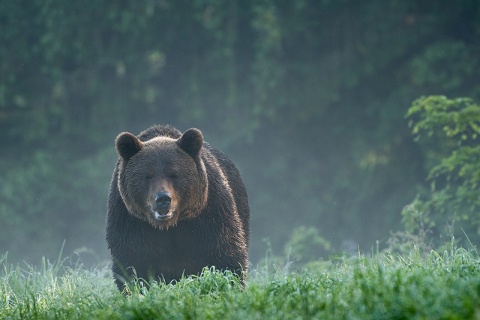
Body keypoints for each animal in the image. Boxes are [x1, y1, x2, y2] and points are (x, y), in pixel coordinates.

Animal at [106, 125, 249, 290]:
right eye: (148, 176)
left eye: (174, 174)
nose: (163, 199)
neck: (169, 226)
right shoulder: (129, 219)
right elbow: (132, 263)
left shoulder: (210, 211)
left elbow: (225, 255)